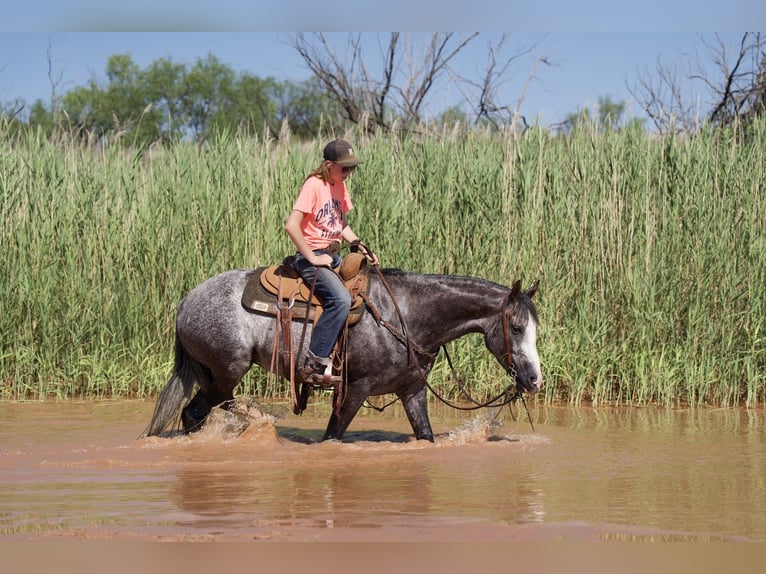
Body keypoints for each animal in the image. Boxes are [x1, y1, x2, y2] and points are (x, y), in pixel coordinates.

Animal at [142, 268, 540, 444]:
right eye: (516, 326)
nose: (535, 380)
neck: (407, 315)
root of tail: (185, 302)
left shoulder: (412, 390)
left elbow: (425, 435)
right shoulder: (354, 390)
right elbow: (332, 436)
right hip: (226, 371)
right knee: (196, 411)